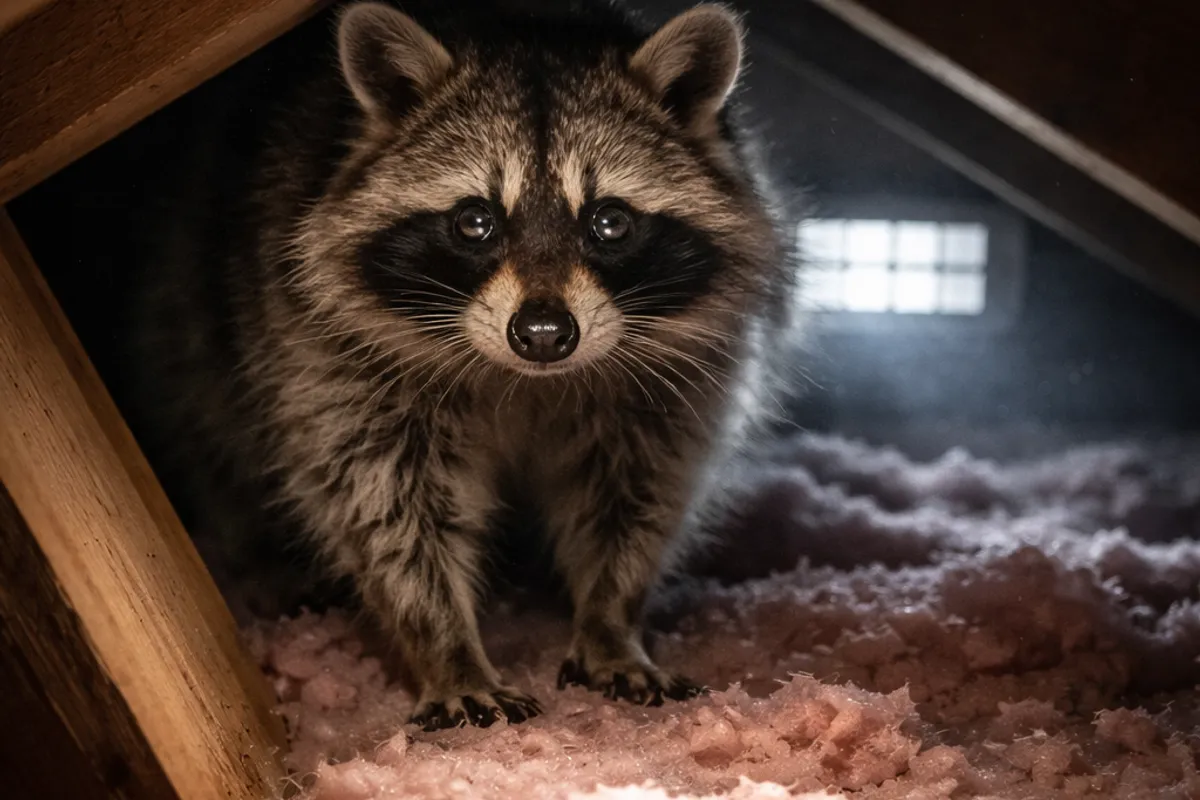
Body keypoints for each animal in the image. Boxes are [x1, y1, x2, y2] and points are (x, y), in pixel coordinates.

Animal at [127, 0, 793, 730]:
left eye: (610, 221)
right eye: (475, 221)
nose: (543, 334)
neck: (528, 381)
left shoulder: (677, 380)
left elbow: (636, 492)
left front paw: (612, 617)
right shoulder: (326, 358)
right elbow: (386, 503)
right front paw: (445, 644)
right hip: (194, 308)